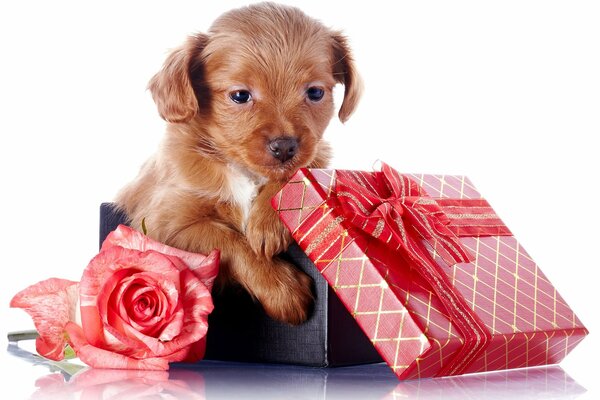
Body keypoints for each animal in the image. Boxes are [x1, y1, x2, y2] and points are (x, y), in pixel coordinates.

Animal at [116, 1, 360, 324]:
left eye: (316, 92)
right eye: (240, 95)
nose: (285, 146)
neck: (244, 171)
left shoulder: (316, 154)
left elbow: (297, 172)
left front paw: (269, 221)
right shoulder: (165, 224)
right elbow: (229, 241)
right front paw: (283, 289)